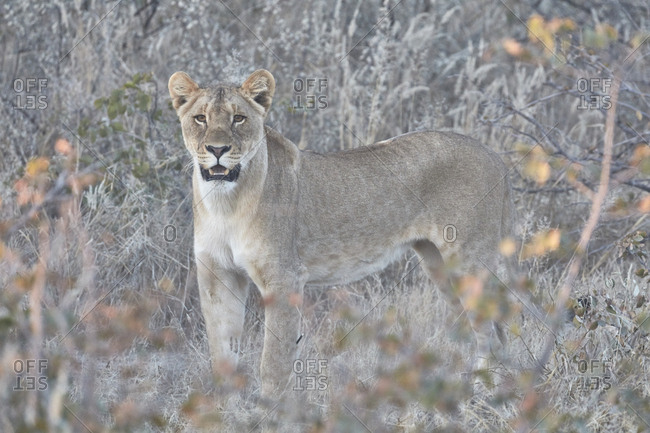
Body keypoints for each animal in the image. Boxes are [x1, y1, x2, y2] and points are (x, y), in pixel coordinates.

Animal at [168, 69, 514, 397]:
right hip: (439, 265)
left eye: (238, 118)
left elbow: (274, 363)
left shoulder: (283, 278)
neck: (225, 203)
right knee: (482, 330)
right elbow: (222, 356)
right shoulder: (218, 276)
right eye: (200, 118)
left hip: (469, 261)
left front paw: (269, 410)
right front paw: (224, 408)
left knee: (495, 332)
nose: (217, 149)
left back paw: (486, 400)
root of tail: (494, 154)